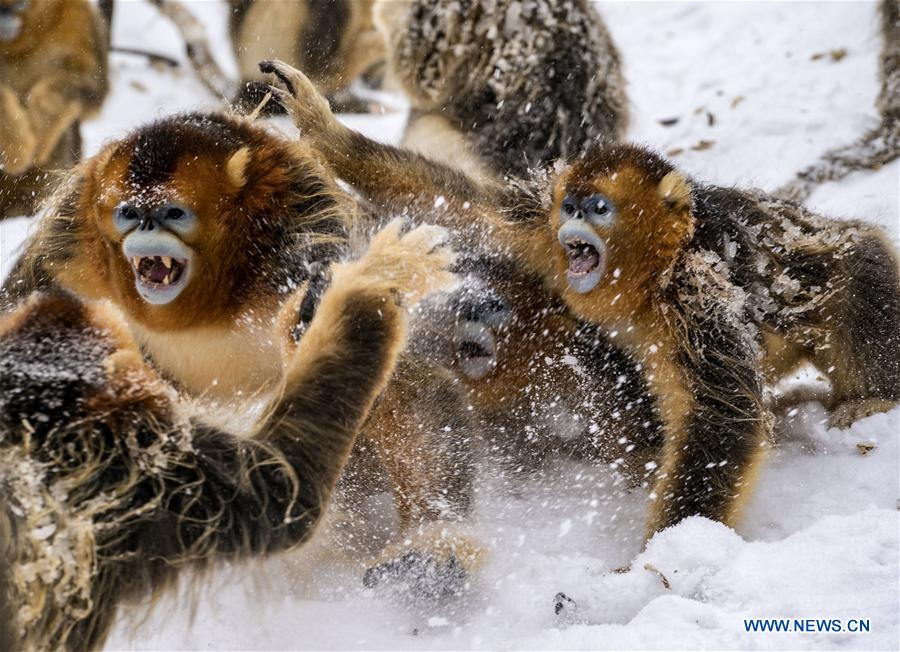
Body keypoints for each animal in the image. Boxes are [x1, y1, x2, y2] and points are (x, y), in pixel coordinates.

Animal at [0, 0, 108, 219]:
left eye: (20, 5)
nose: (4, 16)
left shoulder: (79, 20)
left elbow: (90, 84)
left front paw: (39, 135)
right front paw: (16, 148)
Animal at [0, 111, 482, 601]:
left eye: (173, 213)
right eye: (129, 213)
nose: (145, 231)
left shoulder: (302, 221)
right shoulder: (69, 253)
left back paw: (432, 547)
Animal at [264, 60, 900, 540]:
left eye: (599, 208)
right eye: (570, 206)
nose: (573, 222)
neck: (648, 279)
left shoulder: (697, 293)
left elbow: (721, 417)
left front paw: (658, 562)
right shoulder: (539, 233)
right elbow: (468, 206)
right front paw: (326, 131)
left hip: (838, 264)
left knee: (856, 266)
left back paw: (869, 400)